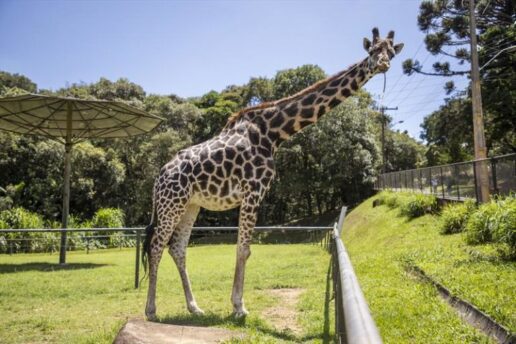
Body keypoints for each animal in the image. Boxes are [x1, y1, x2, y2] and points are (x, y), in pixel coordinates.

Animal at [142, 27, 404, 320]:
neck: (274, 133)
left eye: (391, 52)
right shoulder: (253, 191)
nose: (383, 64)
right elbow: (243, 249)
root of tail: (159, 177)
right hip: (171, 204)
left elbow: (242, 248)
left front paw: (236, 305)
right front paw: (239, 307)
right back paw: (151, 310)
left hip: (190, 205)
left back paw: (194, 307)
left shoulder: (252, 194)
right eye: (372, 50)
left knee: (177, 248)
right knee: (156, 246)